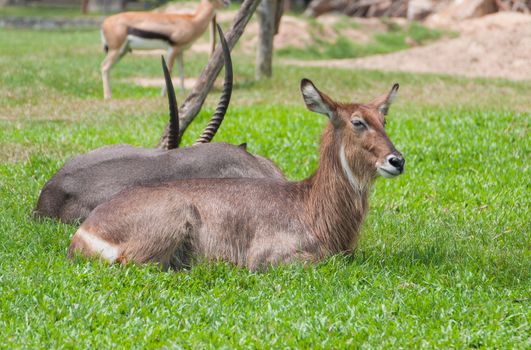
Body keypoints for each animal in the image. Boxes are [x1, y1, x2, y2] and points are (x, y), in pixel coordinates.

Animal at [68, 79, 406, 270]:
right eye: (357, 122)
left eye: (384, 120)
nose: (397, 160)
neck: (309, 205)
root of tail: (84, 231)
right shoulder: (272, 258)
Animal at [101, 0, 230, 100]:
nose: (227, 2)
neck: (192, 21)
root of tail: (105, 22)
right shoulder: (173, 49)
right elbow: (170, 69)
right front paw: (163, 94)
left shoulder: (180, 51)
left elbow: (181, 70)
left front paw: (183, 93)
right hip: (116, 50)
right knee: (104, 66)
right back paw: (108, 96)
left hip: (122, 51)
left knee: (107, 67)